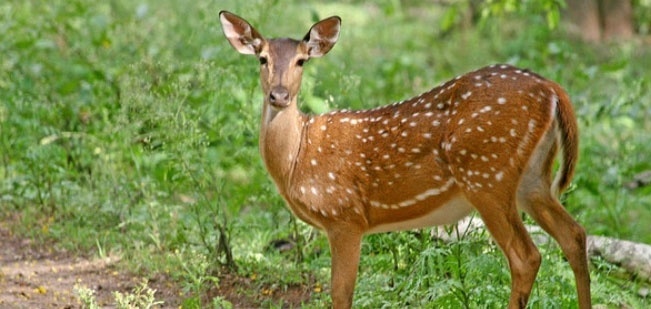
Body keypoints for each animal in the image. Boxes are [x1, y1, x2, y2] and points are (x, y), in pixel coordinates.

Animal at [222, 10, 592, 308]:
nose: (279, 95)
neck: (298, 159)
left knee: (526, 256)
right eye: (262, 59)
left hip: (487, 175)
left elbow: (341, 293)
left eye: (302, 61)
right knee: (575, 234)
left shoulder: (345, 216)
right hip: (532, 178)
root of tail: (552, 89)